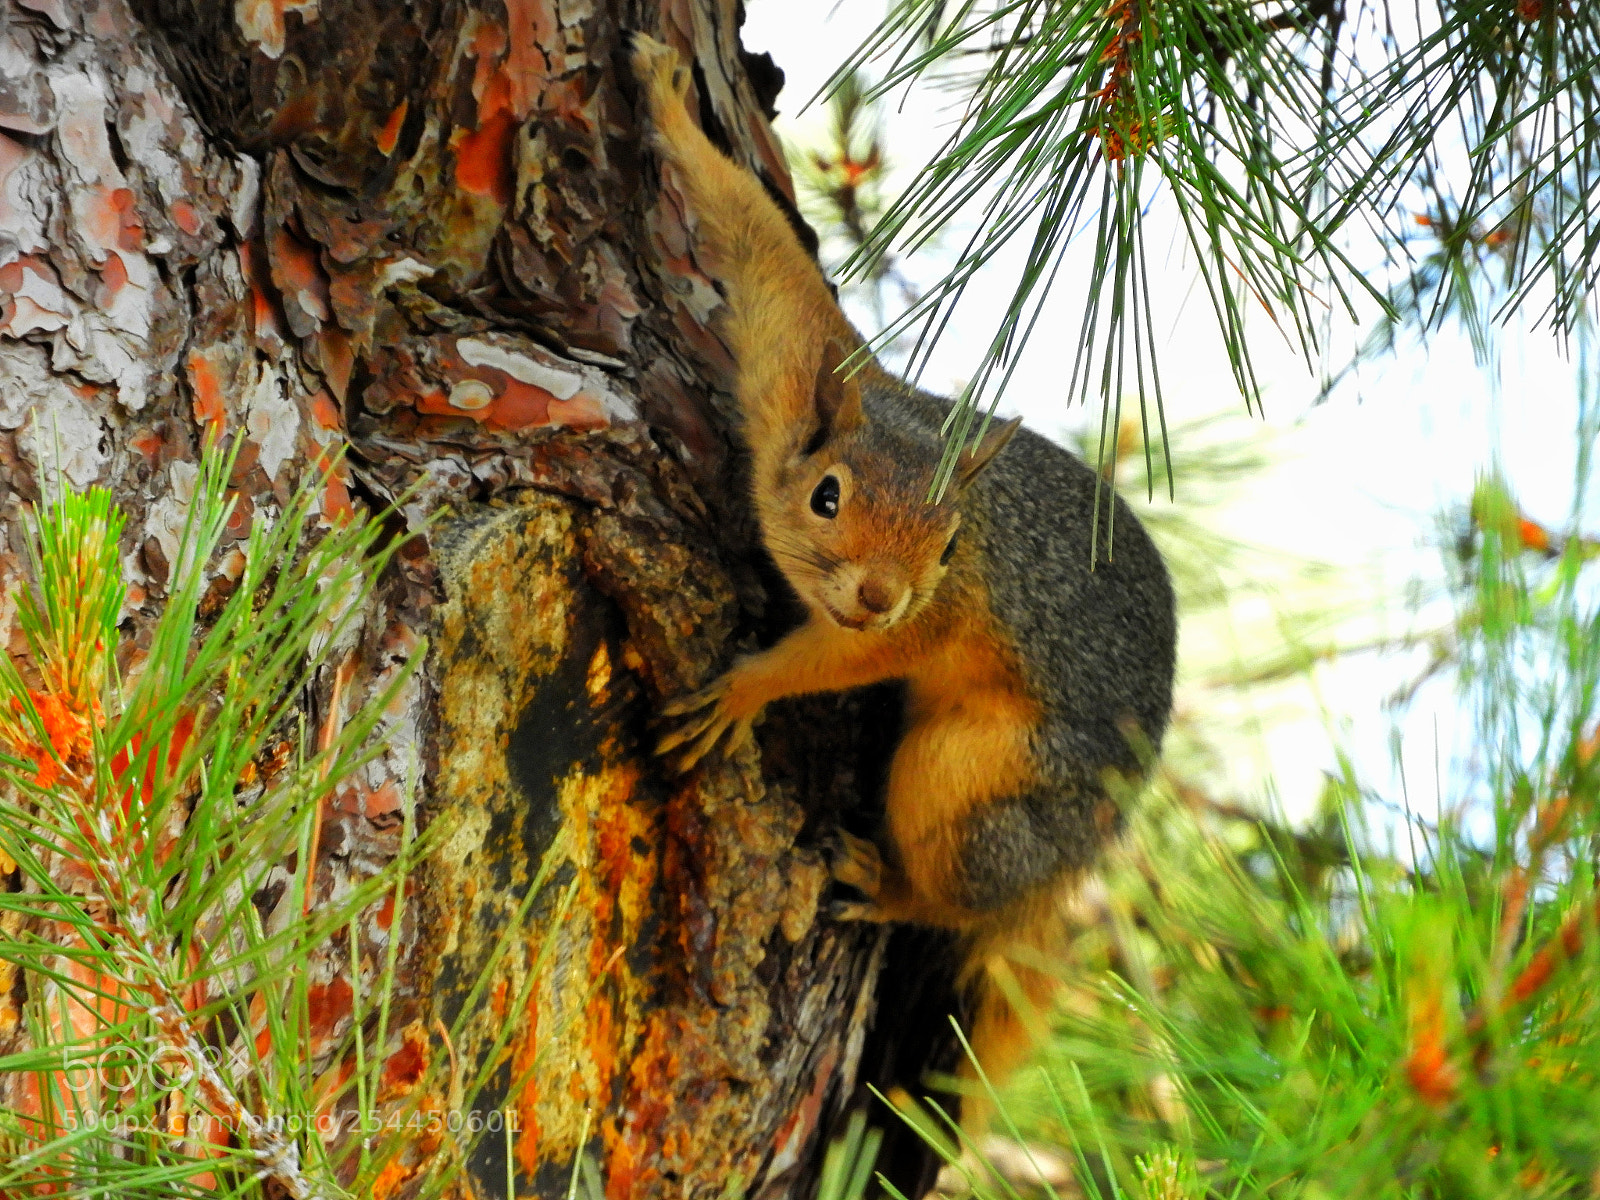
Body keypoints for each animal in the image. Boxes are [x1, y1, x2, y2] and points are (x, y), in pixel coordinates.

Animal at [631, 34, 1177, 1129]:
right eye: (828, 496)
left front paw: (741, 693)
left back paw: (886, 884)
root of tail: (1084, 852)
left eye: (949, 542)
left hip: (968, 783)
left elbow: (836, 661)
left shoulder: (923, 623)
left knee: (954, 889)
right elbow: (758, 245)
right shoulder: (798, 361)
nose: (880, 594)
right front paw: (669, 99)